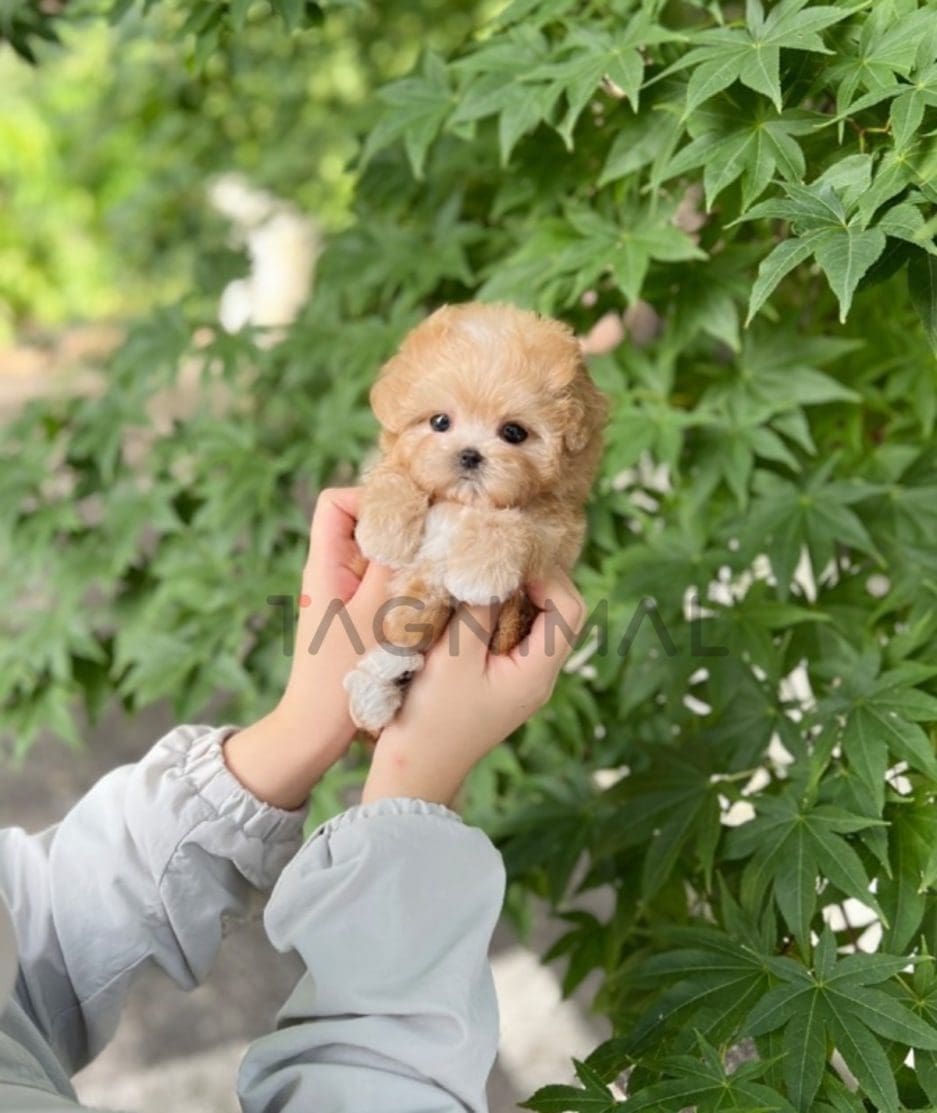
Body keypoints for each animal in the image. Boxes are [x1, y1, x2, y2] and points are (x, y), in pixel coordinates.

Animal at [342, 300, 605, 734]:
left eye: (514, 432)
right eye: (439, 422)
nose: (469, 454)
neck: (461, 504)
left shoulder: (556, 531)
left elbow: (515, 524)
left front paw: (479, 571)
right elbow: (394, 474)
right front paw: (385, 532)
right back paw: (376, 691)